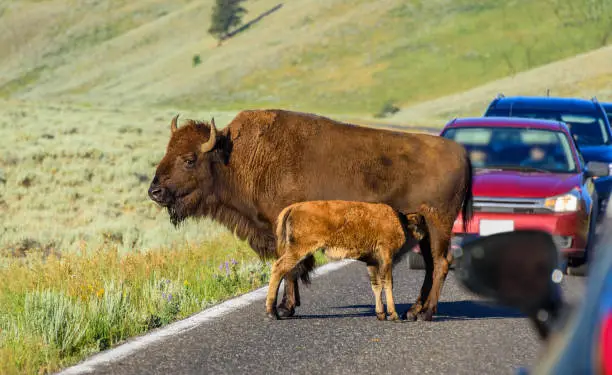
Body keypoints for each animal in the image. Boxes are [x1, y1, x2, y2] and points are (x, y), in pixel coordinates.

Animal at [262, 201, 426, 322]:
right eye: (422, 223)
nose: (424, 235)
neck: (399, 220)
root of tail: (293, 207)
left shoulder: (372, 262)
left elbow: (376, 285)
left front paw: (380, 314)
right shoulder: (385, 257)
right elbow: (388, 283)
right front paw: (393, 315)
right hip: (299, 250)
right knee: (278, 268)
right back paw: (272, 313)